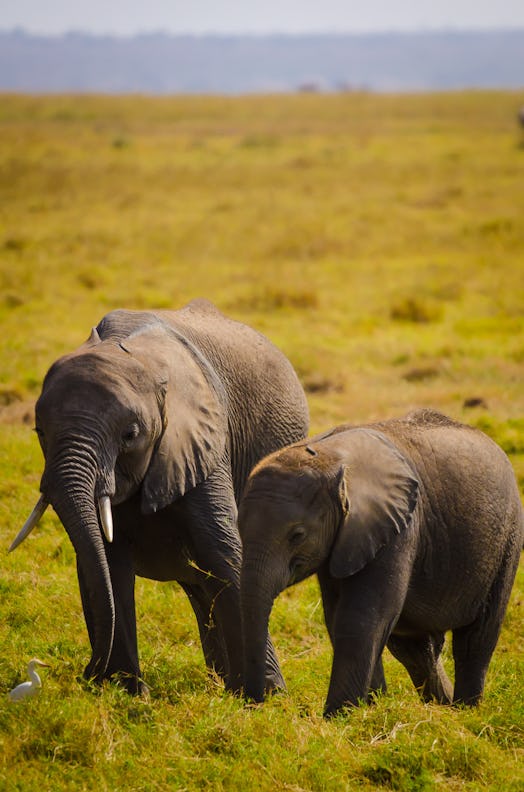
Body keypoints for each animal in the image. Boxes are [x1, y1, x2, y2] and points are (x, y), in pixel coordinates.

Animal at [10, 300, 310, 696]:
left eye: (130, 434)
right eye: (39, 431)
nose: (87, 673)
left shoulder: (202, 444)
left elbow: (224, 551)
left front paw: (266, 696)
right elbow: (108, 561)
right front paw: (127, 693)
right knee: (198, 587)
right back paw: (221, 682)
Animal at [238, 408, 524, 716]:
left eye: (297, 535)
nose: (256, 704)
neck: (331, 455)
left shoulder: (399, 528)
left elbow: (362, 618)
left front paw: (339, 716)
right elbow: (339, 617)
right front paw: (370, 708)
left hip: (508, 539)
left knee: (476, 640)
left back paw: (465, 712)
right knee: (415, 650)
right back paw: (442, 706)